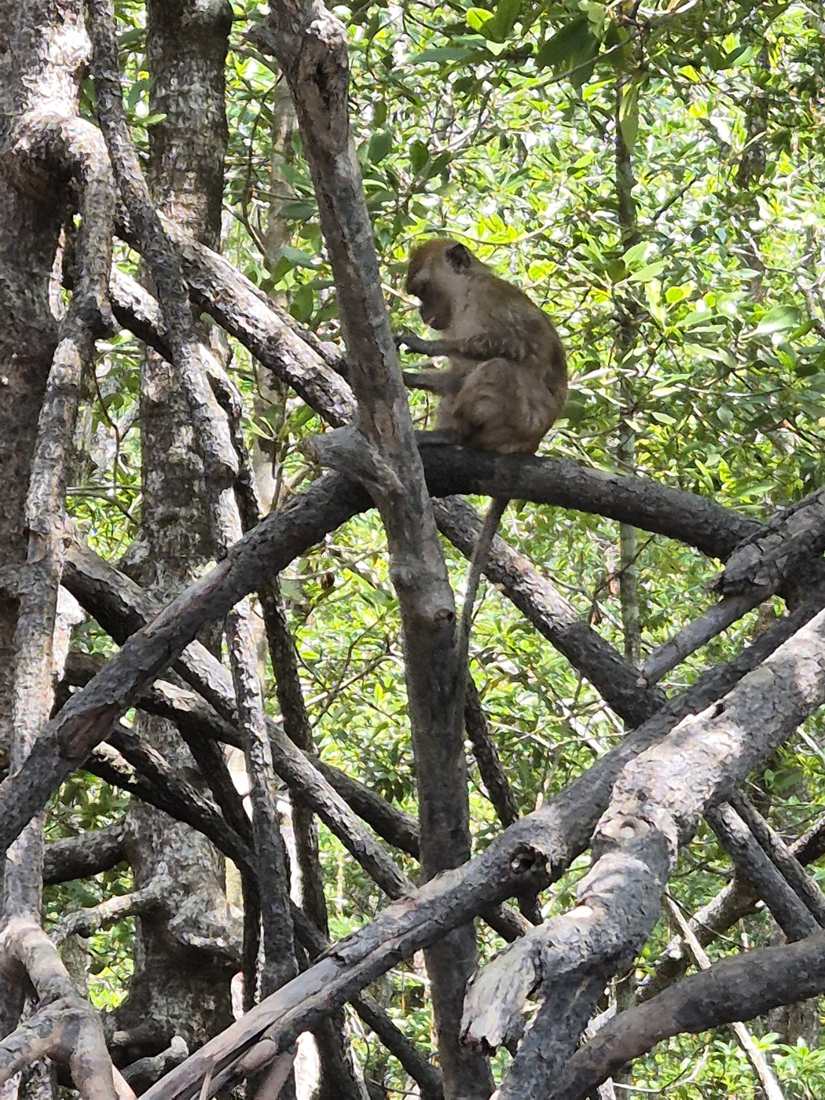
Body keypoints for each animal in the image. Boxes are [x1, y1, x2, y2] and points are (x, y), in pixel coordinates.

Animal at [395, 237, 568, 654]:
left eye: (423, 290)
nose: (423, 313)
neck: (465, 294)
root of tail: (531, 443)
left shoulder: (491, 300)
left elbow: (510, 344)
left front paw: (422, 344)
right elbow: (454, 377)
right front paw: (409, 374)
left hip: (518, 418)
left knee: (498, 368)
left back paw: (452, 436)